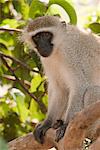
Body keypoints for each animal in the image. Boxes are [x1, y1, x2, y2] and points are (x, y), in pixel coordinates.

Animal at [21, 15, 100, 144]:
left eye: (46, 34)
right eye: (37, 37)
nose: (43, 46)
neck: (58, 47)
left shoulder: (70, 52)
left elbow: (79, 86)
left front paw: (66, 125)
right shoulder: (47, 59)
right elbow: (60, 89)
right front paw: (47, 123)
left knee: (91, 92)